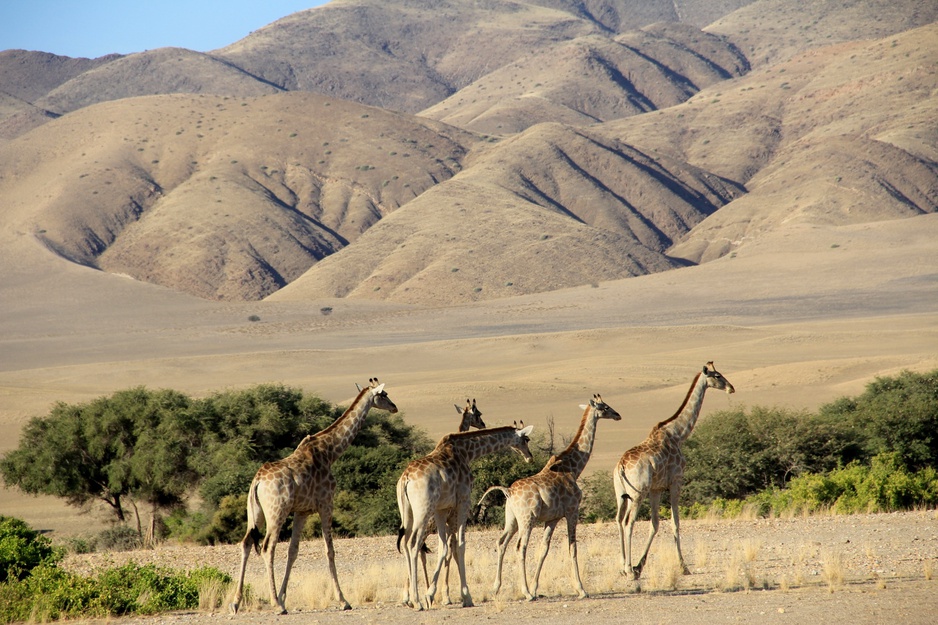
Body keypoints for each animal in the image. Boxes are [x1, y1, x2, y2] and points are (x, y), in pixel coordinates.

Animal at [232, 378, 400, 612]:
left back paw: (236, 602)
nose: (394, 407)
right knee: (267, 548)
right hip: (277, 512)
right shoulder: (326, 504)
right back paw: (276, 604)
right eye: (384, 394)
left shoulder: (302, 511)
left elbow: (293, 551)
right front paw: (343, 600)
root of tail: (257, 482)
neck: (330, 452)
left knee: (246, 543)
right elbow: (329, 550)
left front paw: (284, 595)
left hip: (254, 512)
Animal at [394, 422, 532, 608]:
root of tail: (405, 478)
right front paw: (466, 597)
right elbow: (460, 546)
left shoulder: (441, 509)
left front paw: (431, 593)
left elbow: (444, 547)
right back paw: (416, 601)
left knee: (406, 544)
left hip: (408, 512)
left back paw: (410, 599)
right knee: (413, 544)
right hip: (423, 510)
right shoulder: (464, 501)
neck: (467, 452)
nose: (529, 456)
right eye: (526, 439)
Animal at [476, 394, 620, 600]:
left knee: (501, 542)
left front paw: (536, 587)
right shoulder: (572, 511)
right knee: (520, 547)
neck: (573, 469)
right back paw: (526, 593)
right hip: (527, 519)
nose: (618, 415)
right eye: (605, 407)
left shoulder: (552, 518)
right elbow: (572, 547)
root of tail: (508, 491)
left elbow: (544, 549)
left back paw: (496, 588)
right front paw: (581, 589)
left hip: (512, 519)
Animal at [616, 360, 736, 580]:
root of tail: (620, 466)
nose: (731, 388)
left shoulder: (656, 489)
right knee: (628, 523)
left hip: (621, 494)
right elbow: (675, 522)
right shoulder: (676, 482)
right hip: (637, 494)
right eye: (717, 376)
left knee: (619, 521)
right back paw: (628, 569)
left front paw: (640, 565)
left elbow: (655, 524)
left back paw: (624, 567)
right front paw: (683, 567)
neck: (679, 434)